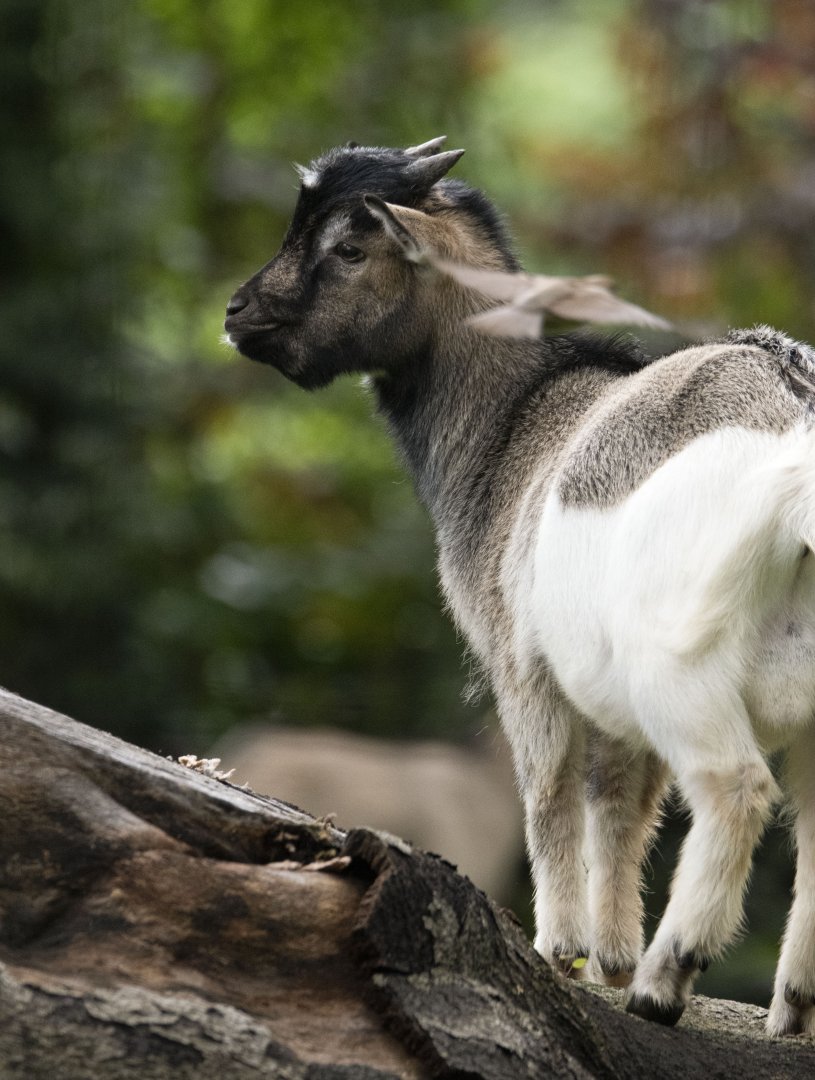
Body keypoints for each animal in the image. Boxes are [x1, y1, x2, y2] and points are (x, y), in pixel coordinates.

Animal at [224, 137, 815, 1035]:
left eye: (350, 247)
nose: (238, 314)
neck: (512, 423)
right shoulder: (606, 703)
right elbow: (620, 805)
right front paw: (605, 956)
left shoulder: (521, 664)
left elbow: (549, 797)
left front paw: (563, 953)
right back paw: (788, 1008)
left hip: (679, 665)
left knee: (736, 789)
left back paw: (663, 981)